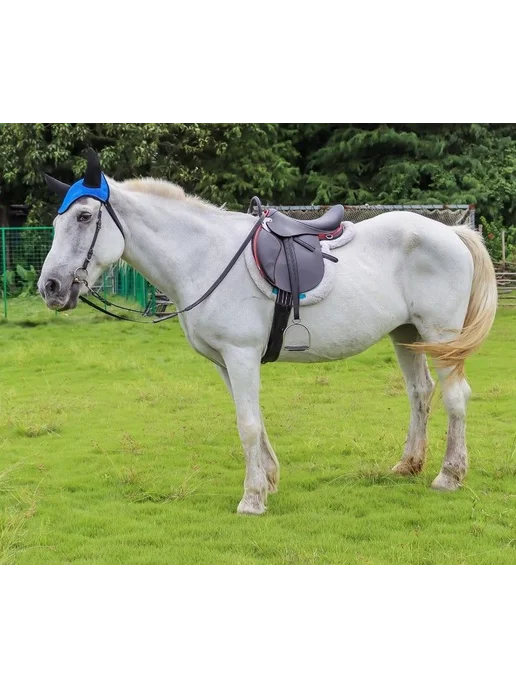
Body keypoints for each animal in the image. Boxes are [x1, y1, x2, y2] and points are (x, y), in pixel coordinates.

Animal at [39, 155, 498, 515]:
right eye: (58, 220)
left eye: (83, 216)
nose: (51, 287)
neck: (204, 256)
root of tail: (451, 233)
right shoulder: (224, 362)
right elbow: (253, 420)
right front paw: (270, 480)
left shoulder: (241, 354)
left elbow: (246, 424)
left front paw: (253, 498)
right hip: (406, 334)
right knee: (420, 393)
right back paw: (408, 464)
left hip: (440, 334)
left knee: (456, 397)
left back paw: (449, 476)